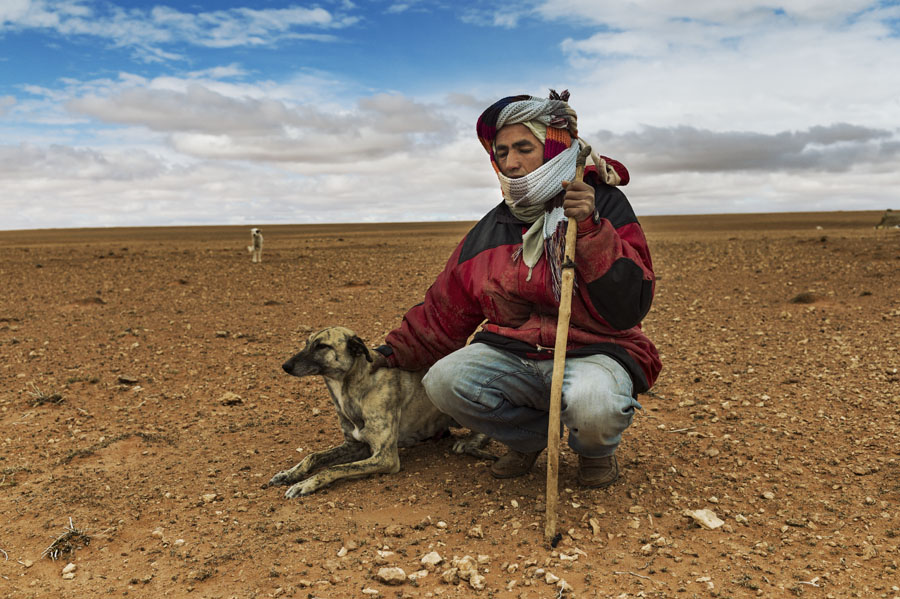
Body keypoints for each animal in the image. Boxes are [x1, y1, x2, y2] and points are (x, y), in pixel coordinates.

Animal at [266, 328, 492, 496]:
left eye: (322, 346)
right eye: (306, 343)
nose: (285, 366)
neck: (355, 388)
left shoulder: (385, 457)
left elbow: (335, 468)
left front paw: (305, 484)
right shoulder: (355, 446)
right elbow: (313, 456)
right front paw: (289, 474)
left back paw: (470, 442)